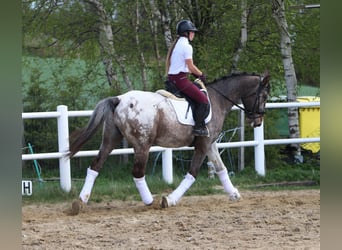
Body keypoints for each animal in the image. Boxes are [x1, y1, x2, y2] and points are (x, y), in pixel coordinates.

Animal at [67, 70, 270, 213]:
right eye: (264, 96)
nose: (258, 121)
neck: (218, 98)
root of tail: (119, 99)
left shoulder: (210, 144)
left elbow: (221, 168)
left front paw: (234, 193)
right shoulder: (203, 145)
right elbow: (192, 174)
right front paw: (170, 200)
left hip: (111, 139)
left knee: (95, 166)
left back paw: (80, 202)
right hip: (143, 145)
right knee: (137, 173)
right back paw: (151, 201)